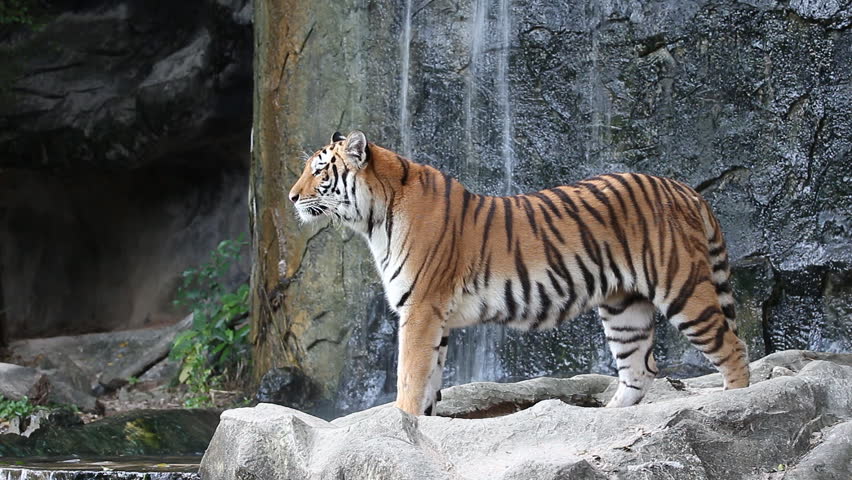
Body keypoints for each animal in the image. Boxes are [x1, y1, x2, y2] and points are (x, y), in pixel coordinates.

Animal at [290, 129, 748, 414]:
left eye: (319, 170)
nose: (292, 197)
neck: (374, 218)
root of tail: (685, 188)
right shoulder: (435, 318)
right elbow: (429, 382)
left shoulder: (419, 310)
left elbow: (409, 376)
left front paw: (401, 425)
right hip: (624, 307)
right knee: (640, 369)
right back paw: (605, 417)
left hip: (683, 288)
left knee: (733, 350)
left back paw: (733, 408)